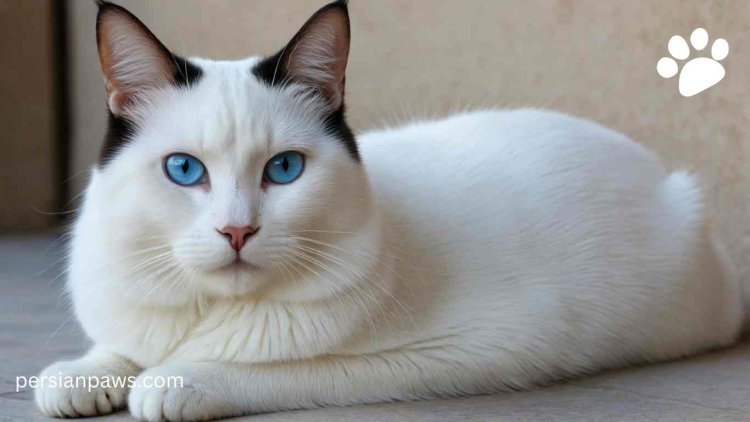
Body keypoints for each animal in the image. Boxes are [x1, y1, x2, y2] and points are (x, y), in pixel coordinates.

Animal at [38, 1, 748, 420]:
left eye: (284, 170)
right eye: (185, 170)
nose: (237, 230)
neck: (206, 311)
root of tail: (659, 170)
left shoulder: (462, 350)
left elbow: (282, 370)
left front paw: (175, 380)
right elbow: (114, 350)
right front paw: (82, 376)